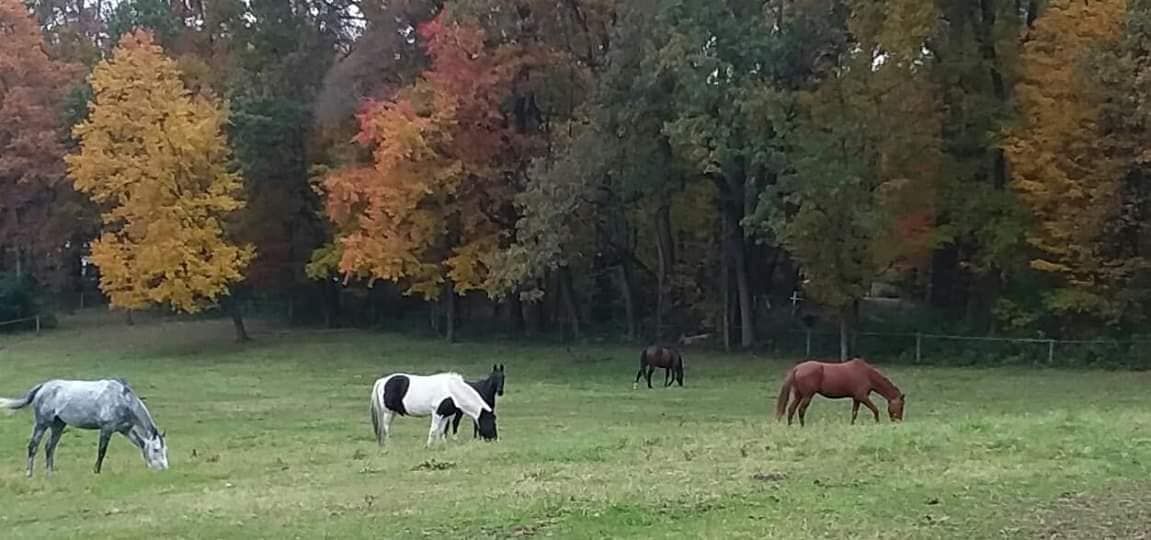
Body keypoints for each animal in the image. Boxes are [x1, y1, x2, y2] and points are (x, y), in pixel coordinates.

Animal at [0, 377, 169, 474]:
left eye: (165, 450)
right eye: (156, 449)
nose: (164, 468)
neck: (122, 399)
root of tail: (42, 387)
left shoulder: (125, 429)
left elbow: (141, 444)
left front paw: (148, 465)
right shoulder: (107, 429)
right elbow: (102, 451)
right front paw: (96, 471)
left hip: (58, 425)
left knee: (49, 447)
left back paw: (50, 473)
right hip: (42, 423)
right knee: (33, 445)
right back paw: (29, 474)